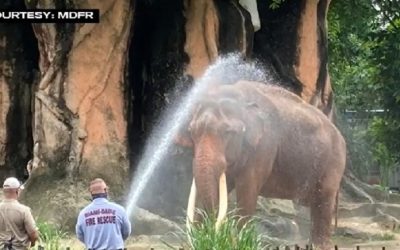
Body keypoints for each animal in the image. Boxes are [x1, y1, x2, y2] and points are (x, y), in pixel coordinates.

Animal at [176, 81, 346, 249]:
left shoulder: (264, 147)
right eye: (192, 132)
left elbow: (247, 190)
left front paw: (239, 242)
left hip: (334, 162)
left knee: (323, 202)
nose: (209, 234)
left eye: (228, 132)